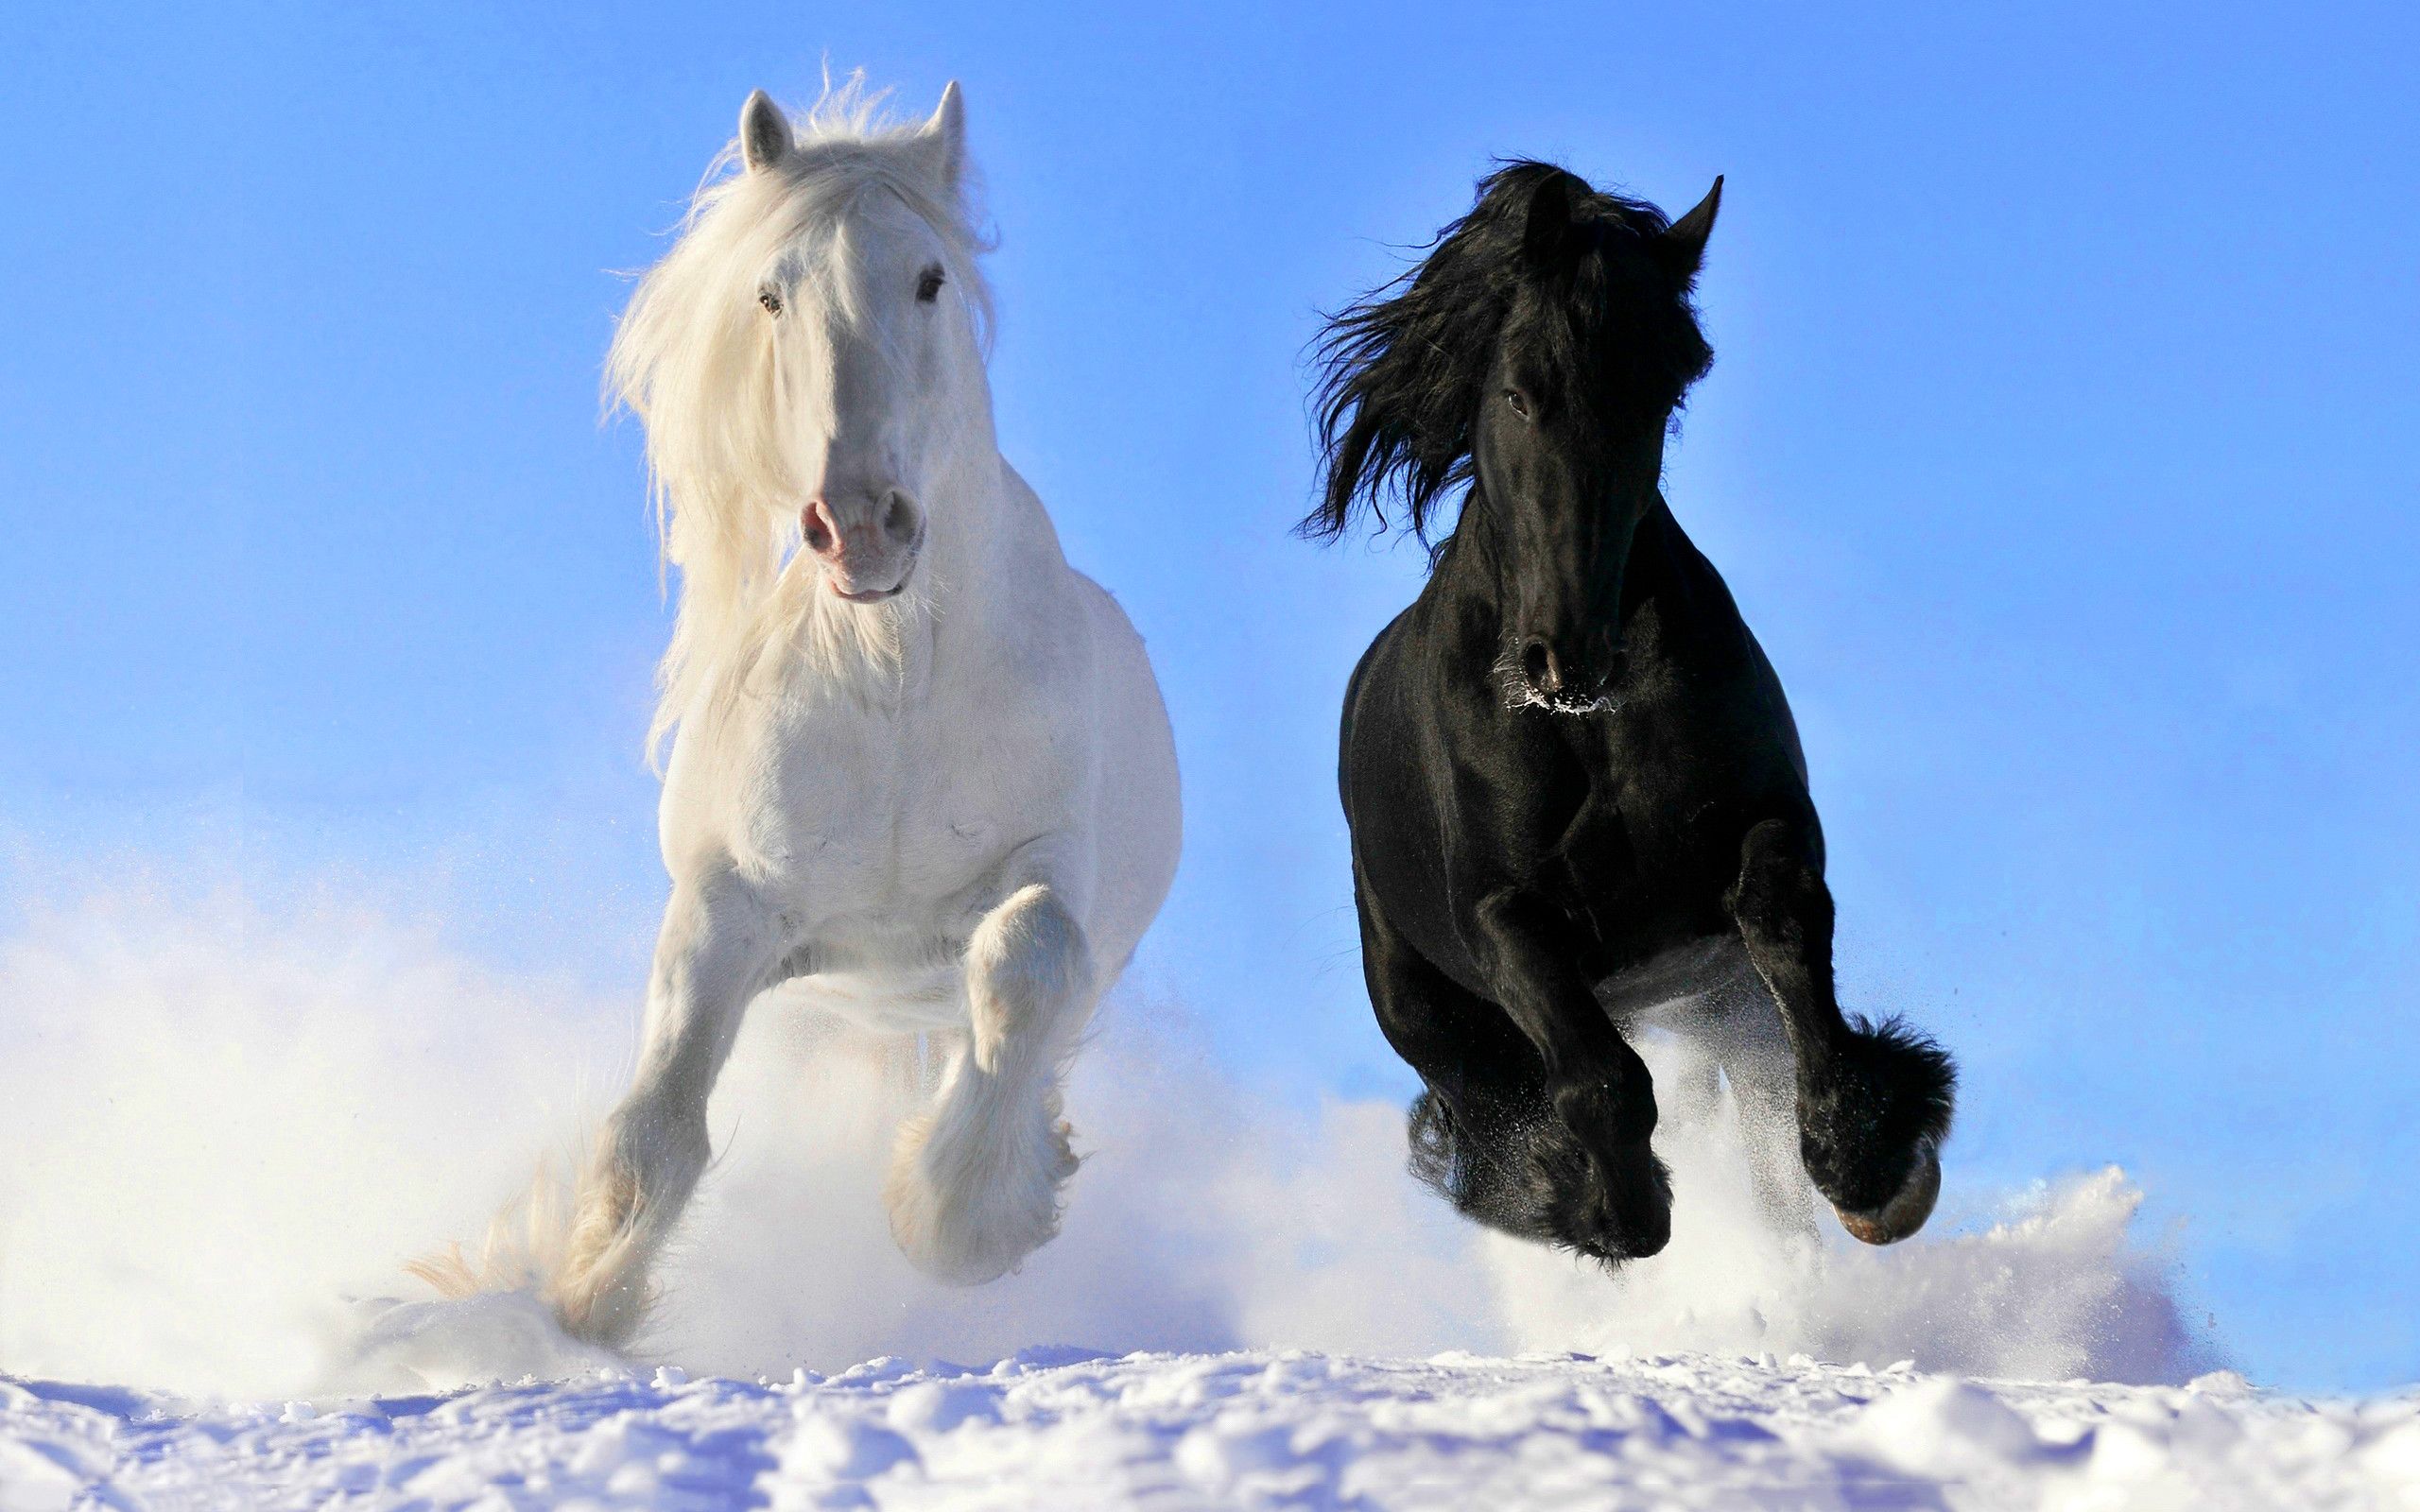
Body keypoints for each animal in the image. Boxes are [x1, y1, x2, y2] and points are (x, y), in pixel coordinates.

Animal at [435, 79, 1190, 1345]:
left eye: (929, 278)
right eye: (769, 292)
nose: (860, 524)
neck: (893, 678)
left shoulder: (1051, 870)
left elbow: (1026, 958)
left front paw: (957, 1220)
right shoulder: (729, 906)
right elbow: (654, 1127)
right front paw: (583, 1306)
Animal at [1316, 159, 1955, 1258]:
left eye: (1660, 395)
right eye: (1520, 392)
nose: (1565, 657)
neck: (1591, 730)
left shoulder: (1764, 826)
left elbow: (1785, 927)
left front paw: (1869, 1162)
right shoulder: (1502, 915)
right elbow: (1598, 1079)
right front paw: (1609, 1205)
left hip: (1716, 1000)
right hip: (1427, 1009)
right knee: (1495, 1104)